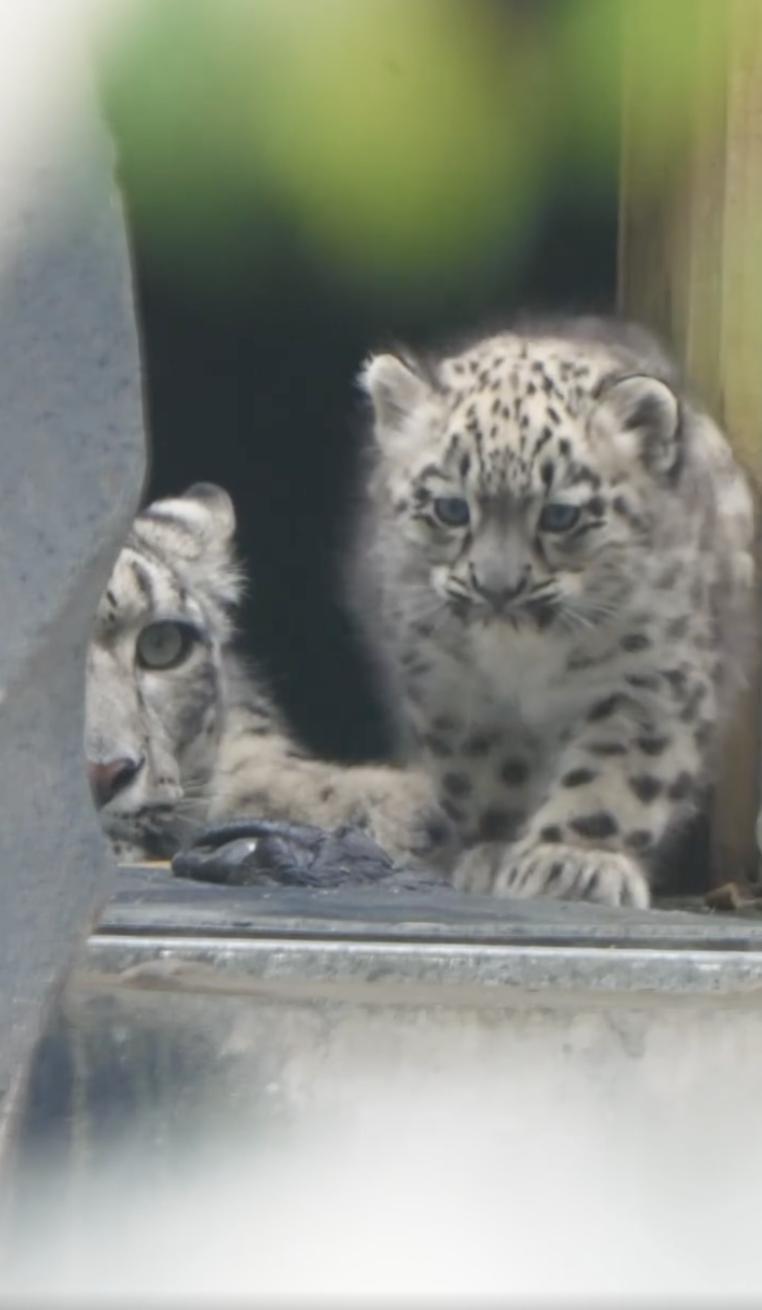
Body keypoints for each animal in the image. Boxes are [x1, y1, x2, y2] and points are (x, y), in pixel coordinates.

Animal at [353, 314, 757, 908]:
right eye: (450, 508)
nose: (497, 587)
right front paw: (498, 852)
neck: (526, 665)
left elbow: (616, 775)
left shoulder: (648, 681)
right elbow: (490, 774)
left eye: (561, 516)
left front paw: (572, 861)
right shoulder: (452, 687)